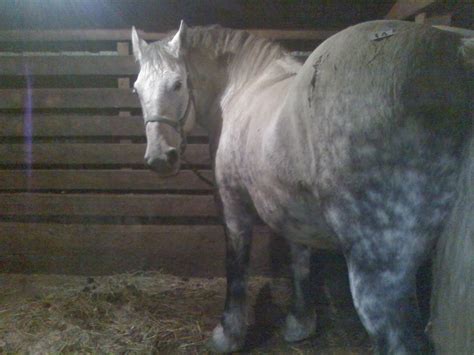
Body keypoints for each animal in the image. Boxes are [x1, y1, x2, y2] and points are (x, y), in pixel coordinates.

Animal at [131, 20, 474, 354]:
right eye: (136, 89)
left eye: (177, 84)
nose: (161, 158)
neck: (241, 88)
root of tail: (458, 52)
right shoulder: (291, 206)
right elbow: (300, 261)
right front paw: (300, 323)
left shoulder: (232, 203)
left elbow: (236, 264)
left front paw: (228, 335)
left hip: (378, 267)